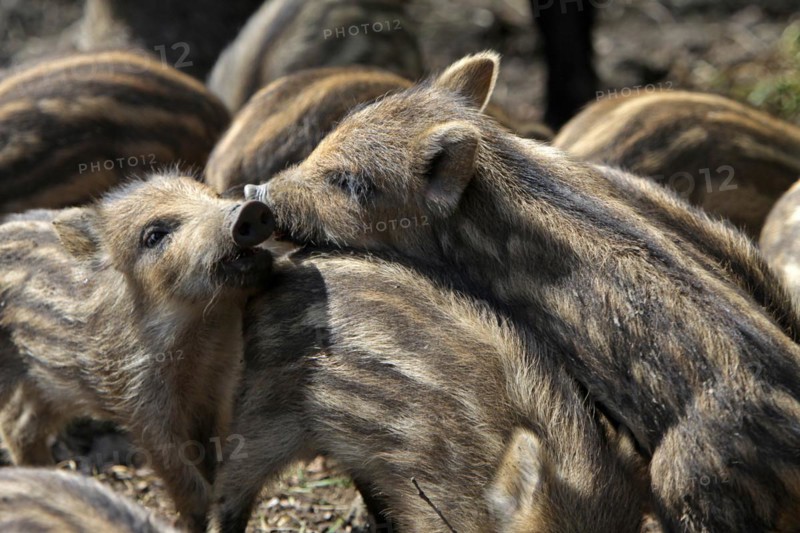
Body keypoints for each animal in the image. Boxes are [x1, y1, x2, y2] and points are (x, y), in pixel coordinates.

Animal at [0, 174, 274, 531]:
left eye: (212, 195)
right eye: (154, 235)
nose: (250, 209)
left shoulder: (220, 389)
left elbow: (218, 469)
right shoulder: (140, 405)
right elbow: (188, 487)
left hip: (47, 384)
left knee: (19, 426)